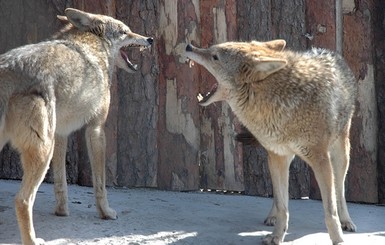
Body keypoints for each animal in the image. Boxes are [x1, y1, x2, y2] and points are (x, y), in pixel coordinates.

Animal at [0, 8, 153, 245]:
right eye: (125, 31)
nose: (150, 39)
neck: (94, 47)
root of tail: (7, 69)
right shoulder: (96, 129)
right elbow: (100, 183)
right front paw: (106, 213)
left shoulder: (61, 134)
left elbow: (60, 182)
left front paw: (62, 211)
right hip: (43, 152)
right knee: (22, 200)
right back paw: (33, 240)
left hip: (44, 147)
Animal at [184, 40, 356, 245]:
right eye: (211, 50)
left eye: (214, 56)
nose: (188, 46)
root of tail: (330, 52)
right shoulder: (279, 156)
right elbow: (283, 206)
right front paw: (277, 235)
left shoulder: (321, 161)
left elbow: (330, 211)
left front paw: (338, 239)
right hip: (278, 160)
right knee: (278, 196)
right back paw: (271, 216)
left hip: (340, 156)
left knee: (340, 191)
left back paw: (347, 221)